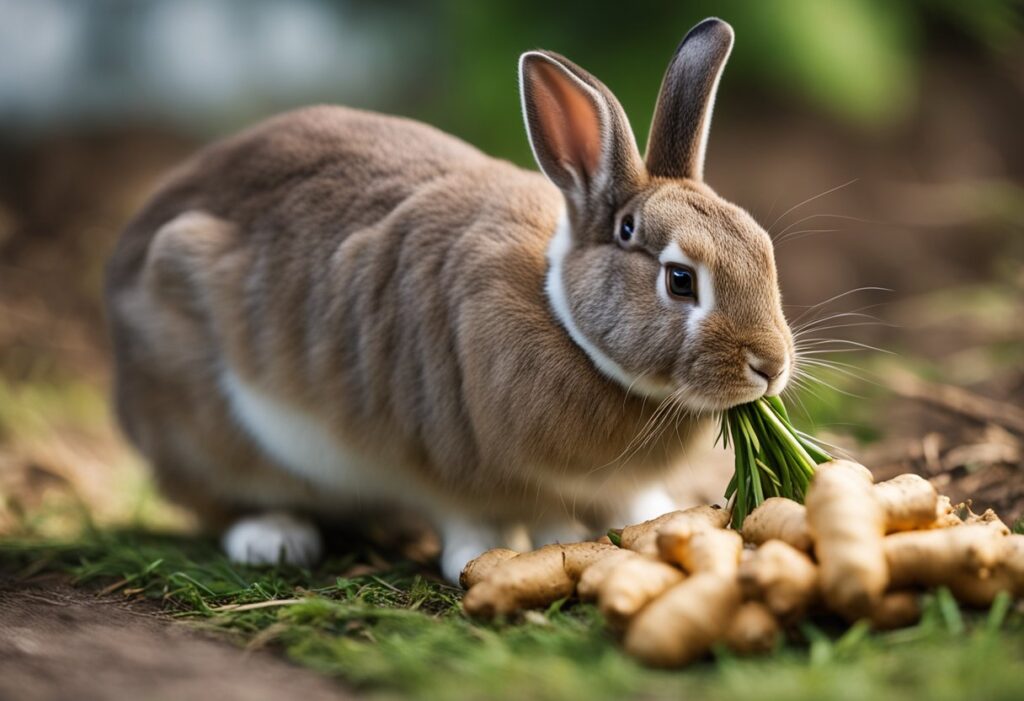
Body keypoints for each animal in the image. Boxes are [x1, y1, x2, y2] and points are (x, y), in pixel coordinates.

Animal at [103, 17, 790, 585]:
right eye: (680, 280)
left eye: (762, 246)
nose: (771, 366)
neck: (564, 320)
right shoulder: (444, 452)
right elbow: (472, 517)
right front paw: (495, 553)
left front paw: (654, 518)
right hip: (201, 415)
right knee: (222, 500)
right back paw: (274, 539)